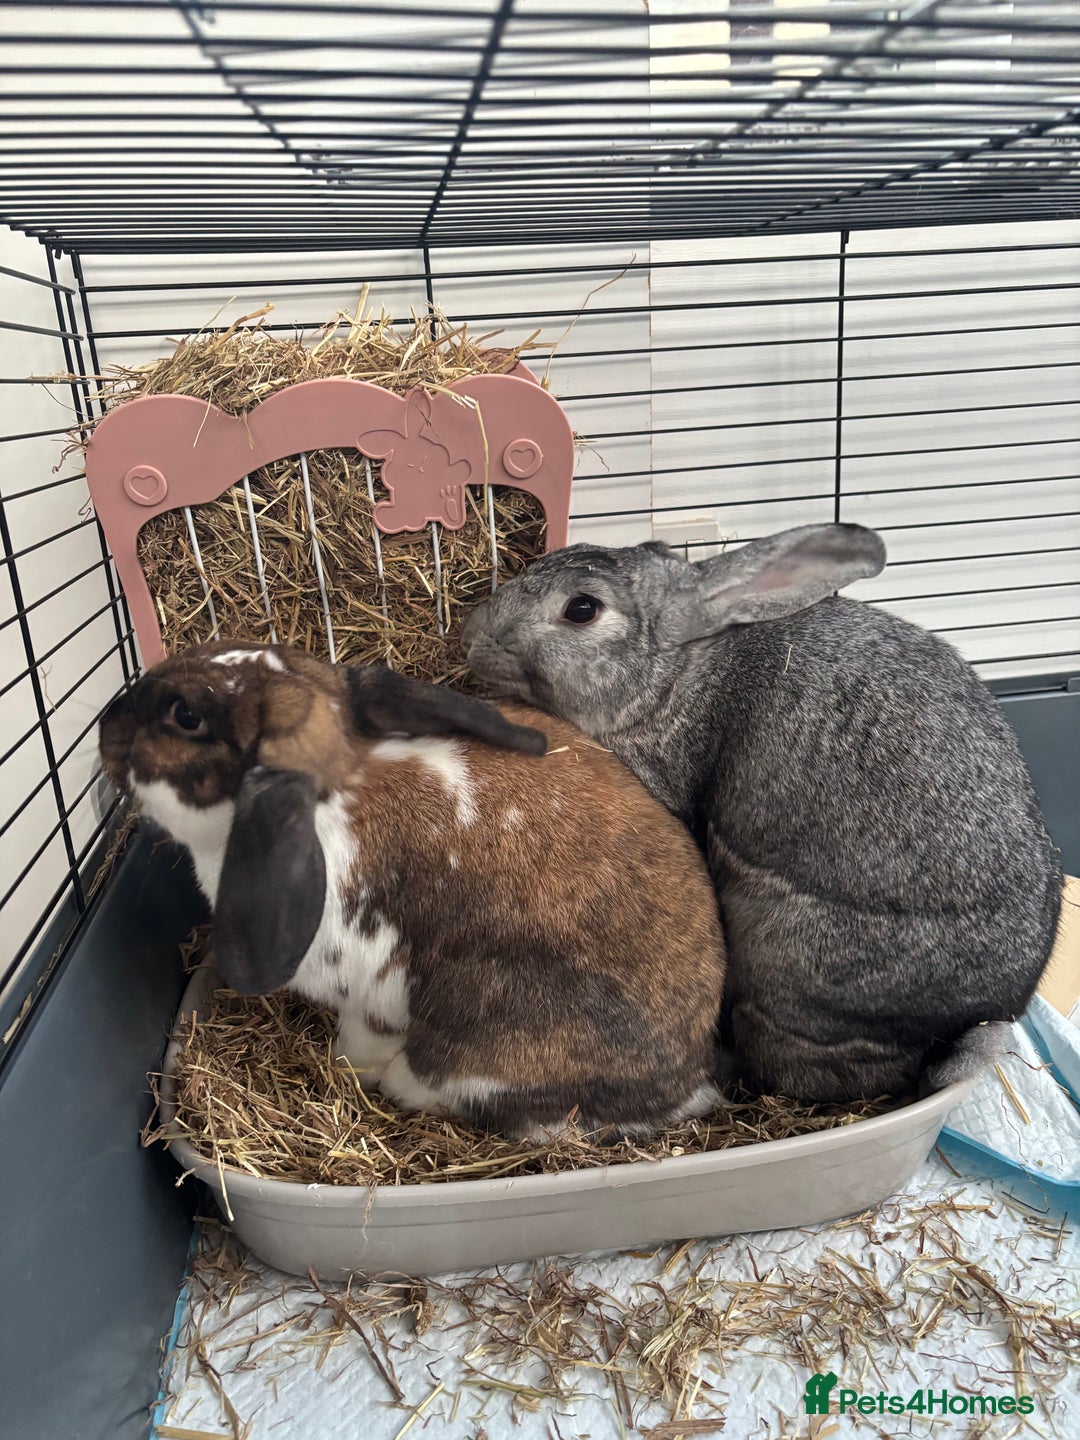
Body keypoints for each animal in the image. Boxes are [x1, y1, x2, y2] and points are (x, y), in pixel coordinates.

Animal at [99, 640, 725, 1139]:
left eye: (185, 714)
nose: (106, 721)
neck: (339, 791)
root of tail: (687, 1086)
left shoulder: (369, 994)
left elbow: (361, 1040)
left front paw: (344, 1070)